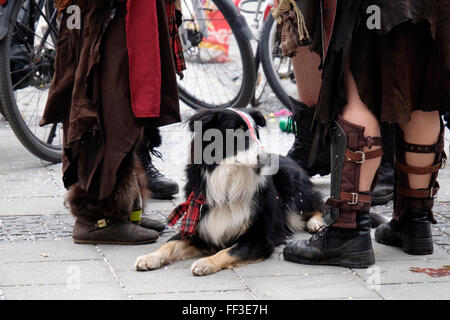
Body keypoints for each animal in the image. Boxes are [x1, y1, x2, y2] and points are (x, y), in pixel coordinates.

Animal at [135, 109, 326, 276]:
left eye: (257, 134)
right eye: (238, 133)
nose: (267, 159)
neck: (229, 181)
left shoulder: (259, 239)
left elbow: (228, 251)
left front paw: (206, 263)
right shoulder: (199, 227)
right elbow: (170, 244)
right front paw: (150, 257)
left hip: (293, 190)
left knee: (318, 204)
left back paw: (316, 223)